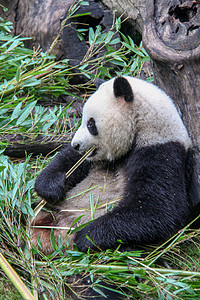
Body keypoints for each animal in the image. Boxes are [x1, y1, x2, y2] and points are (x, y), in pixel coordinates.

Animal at [33, 75, 195, 255]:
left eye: (90, 124)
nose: (76, 144)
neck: (143, 126)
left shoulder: (161, 153)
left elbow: (157, 208)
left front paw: (86, 236)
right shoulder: (94, 157)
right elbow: (70, 160)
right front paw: (51, 186)